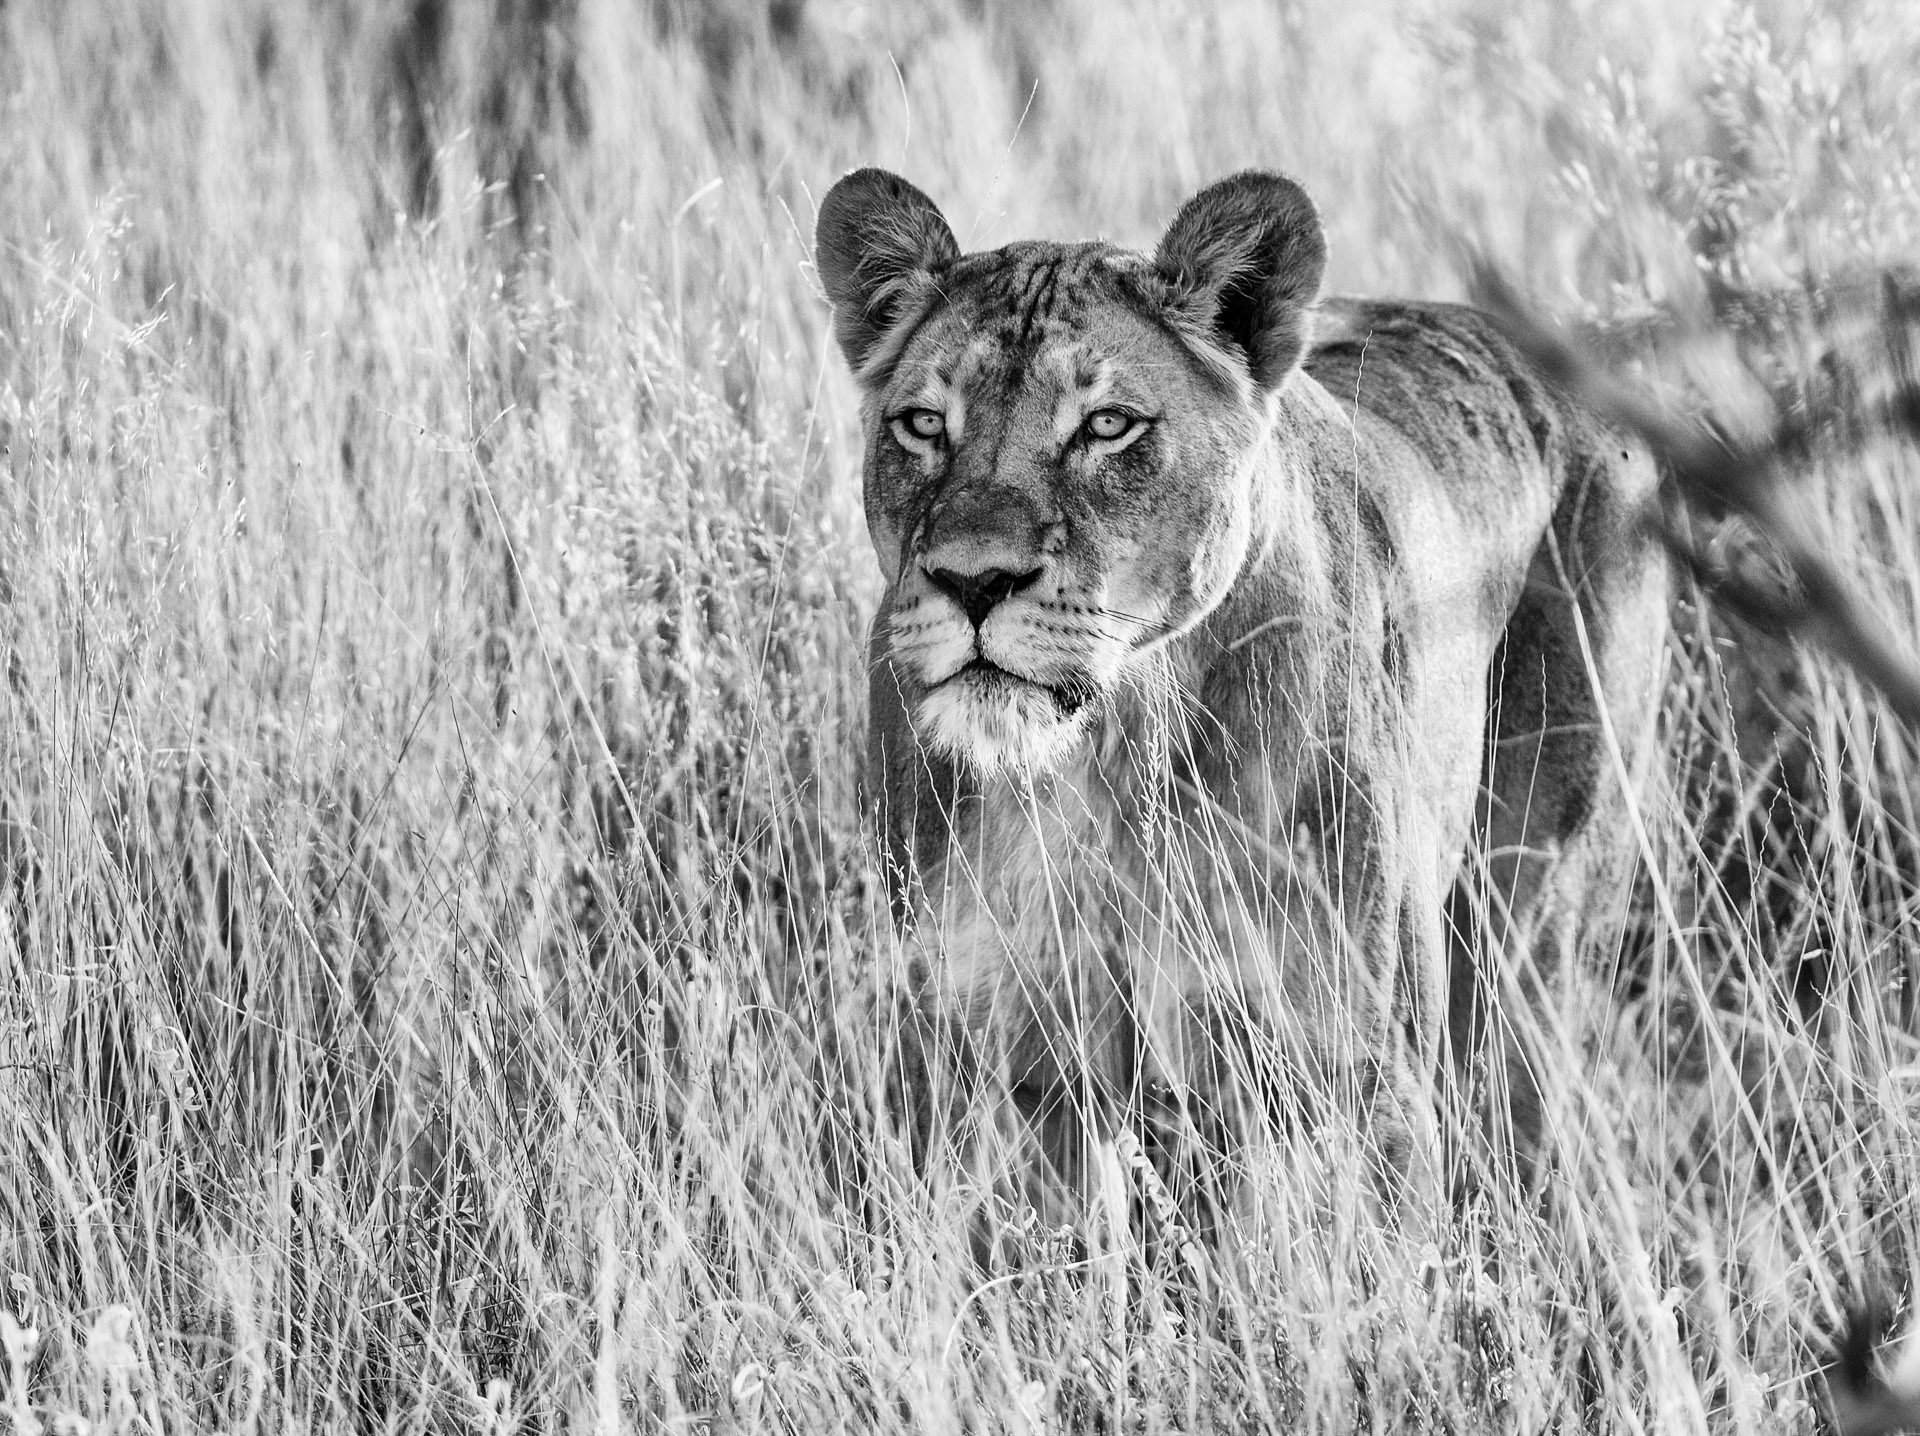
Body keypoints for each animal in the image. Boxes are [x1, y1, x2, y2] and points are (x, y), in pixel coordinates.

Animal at [814, 167, 1668, 1215]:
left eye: (1108, 424)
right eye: (925, 424)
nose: (973, 581)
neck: (1110, 758)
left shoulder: (1368, 1078)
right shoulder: (1009, 1067)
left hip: (1540, 921)